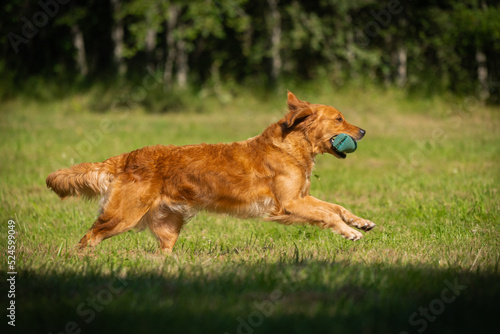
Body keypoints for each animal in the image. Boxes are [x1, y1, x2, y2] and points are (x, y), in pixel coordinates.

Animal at [47, 91, 376, 253]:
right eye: (339, 118)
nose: (363, 131)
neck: (291, 145)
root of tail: (125, 157)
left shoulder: (302, 197)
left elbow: (335, 206)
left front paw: (360, 222)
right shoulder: (289, 204)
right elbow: (327, 215)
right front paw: (349, 232)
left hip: (168, 225)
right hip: (122, 216)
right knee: (89, 237)